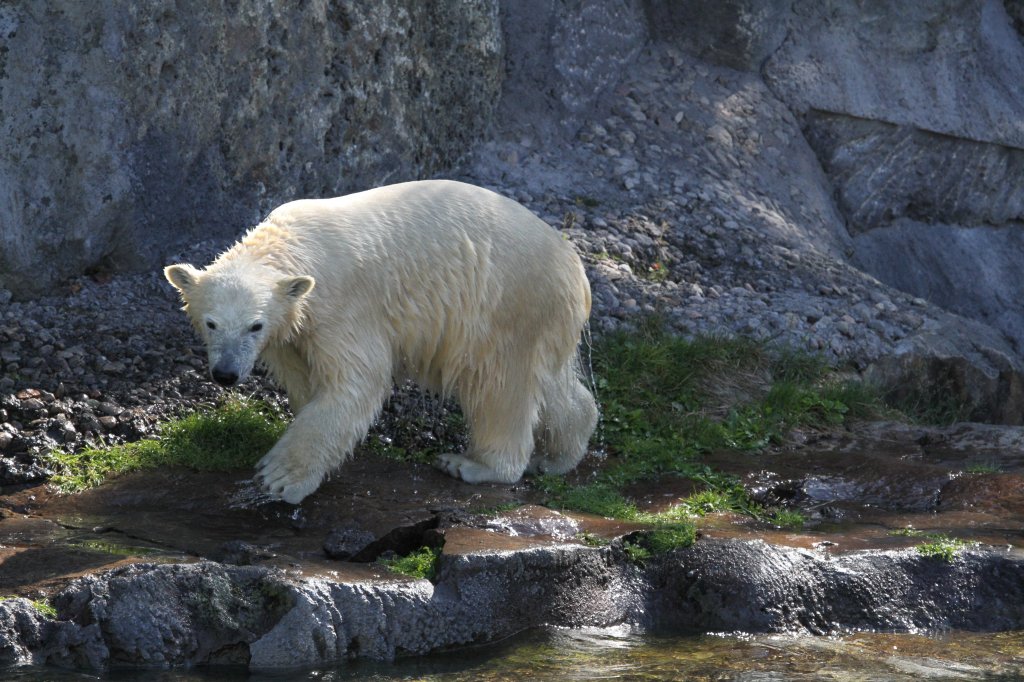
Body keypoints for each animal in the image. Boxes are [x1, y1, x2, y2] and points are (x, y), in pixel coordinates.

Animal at [162, 178, 598, 501]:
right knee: (550, 382)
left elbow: (357, 381)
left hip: (506, 302)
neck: (294, 244)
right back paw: (558, 456)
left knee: (499, 383)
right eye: (211, 323)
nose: (226, 374)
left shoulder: (342, 305)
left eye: (254, 325)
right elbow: (305, 377)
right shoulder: (291, 327)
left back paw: (474, 465)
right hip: (539, 318)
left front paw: (282, 477)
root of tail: (574, 266)